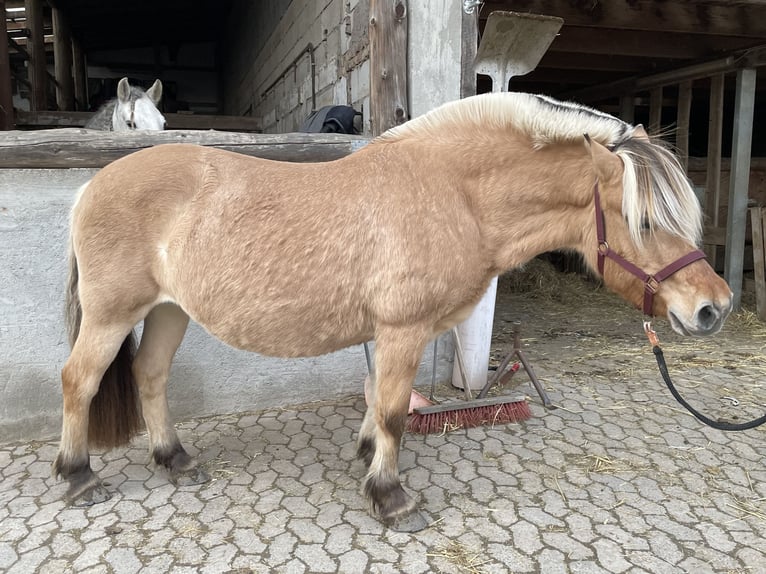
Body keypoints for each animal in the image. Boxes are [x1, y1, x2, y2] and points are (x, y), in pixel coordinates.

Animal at [53, 92, 733, 532]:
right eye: (643, 222)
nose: (715, 308)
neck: (454, 192)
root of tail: (89, 187)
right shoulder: (405, 329)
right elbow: (394, 412)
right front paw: (391, 497)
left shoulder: (392, 333)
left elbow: (380, 399)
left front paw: (364, 456)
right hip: (113, 314)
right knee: (79, 381)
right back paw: (79, 477)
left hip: (170, 310)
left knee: (150, 376)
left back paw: (175, 459)